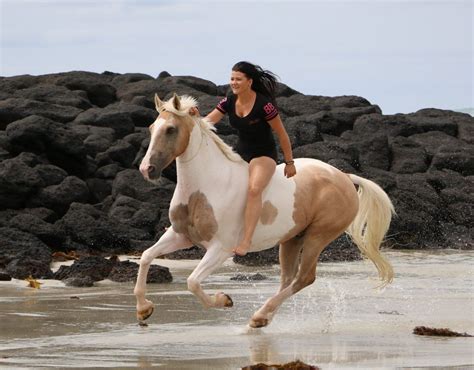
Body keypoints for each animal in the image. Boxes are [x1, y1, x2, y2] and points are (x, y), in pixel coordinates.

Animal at [132, 94, 392, 328]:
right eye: (152, 127)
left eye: (171, 129)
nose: (147, 169)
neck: (206, 187)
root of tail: (345, 177)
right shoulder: (180, 236)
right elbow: (146, 256)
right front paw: (144, 310)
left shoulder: (220, 249)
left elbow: (193, 282)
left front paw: (224, 300)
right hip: (292, 238)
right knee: (288, 278)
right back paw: (263, 317)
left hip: (318, 236)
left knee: (304, 278)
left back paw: (259, 316)